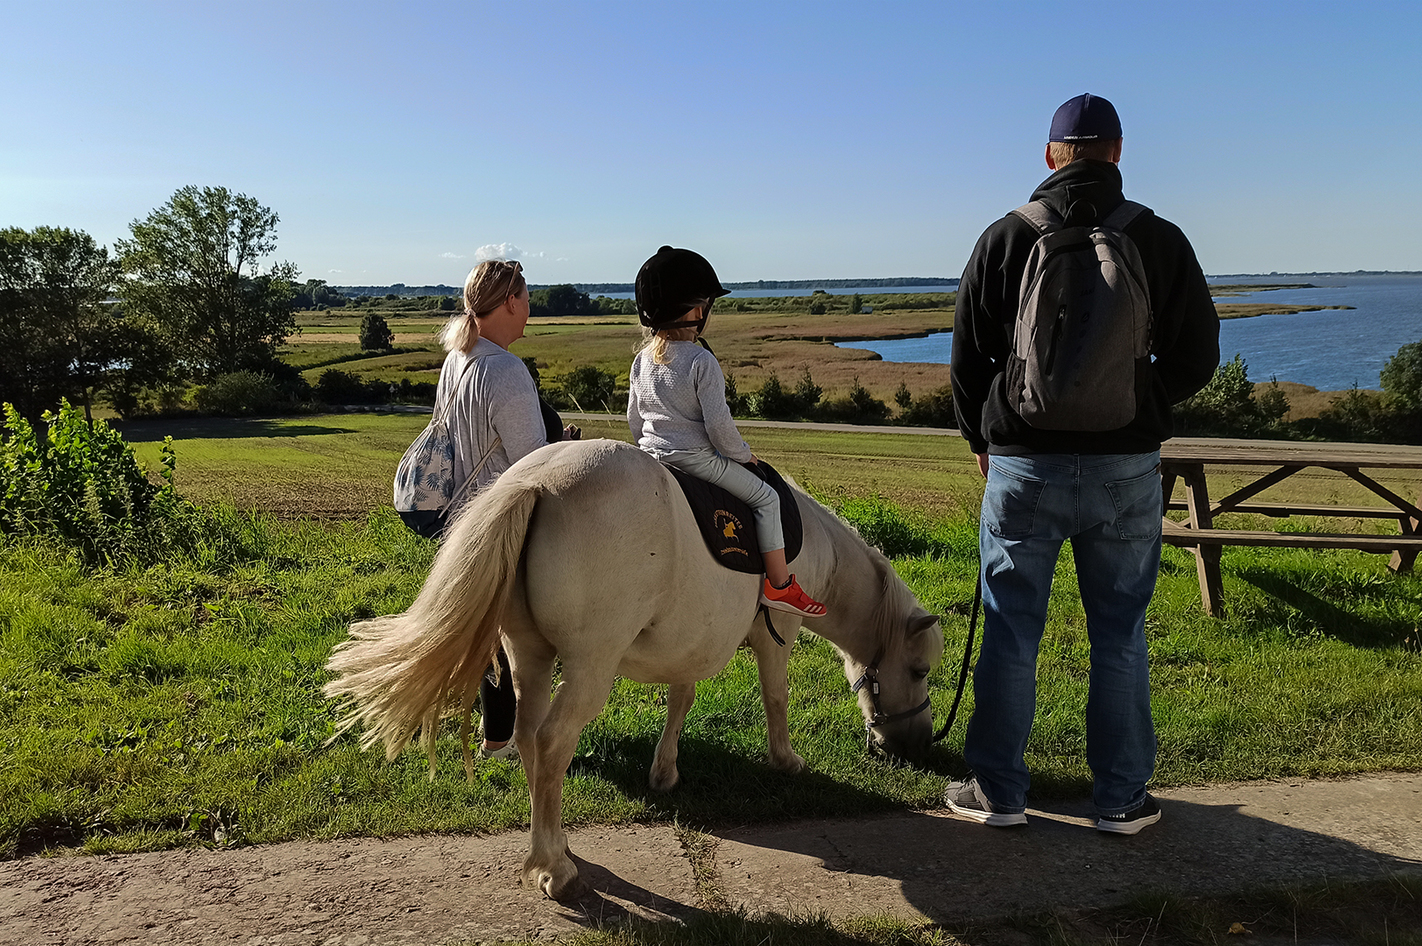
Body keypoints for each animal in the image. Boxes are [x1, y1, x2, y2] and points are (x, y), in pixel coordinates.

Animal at [325, 438, 938, 899]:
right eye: (920, 671)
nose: (916, 746)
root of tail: (535, 483)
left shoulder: (692, 640)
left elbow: (681, 699)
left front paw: (664, 772)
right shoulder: (777, 633)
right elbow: (775, 697)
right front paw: (786, 761)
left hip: (530, 653)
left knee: (528, 735)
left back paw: (554, 844)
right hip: (590, 666)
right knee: (552, 741)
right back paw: (554, 868)